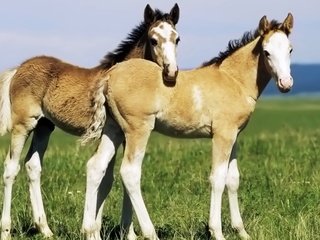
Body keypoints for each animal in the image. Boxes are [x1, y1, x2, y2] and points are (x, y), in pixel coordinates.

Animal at [96, 13, 294, 240]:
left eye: (290, 49)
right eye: (266, 52)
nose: (286, 83)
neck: (233, 80)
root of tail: (109, 75)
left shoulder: (234, 135)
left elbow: (233, 179)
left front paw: (241, 231)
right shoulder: (222, 135)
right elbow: (218, 178)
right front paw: (217, 231)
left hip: (114, 129)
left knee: (97, 168)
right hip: (137, 130)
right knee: (129, 173)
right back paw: (149, 232)